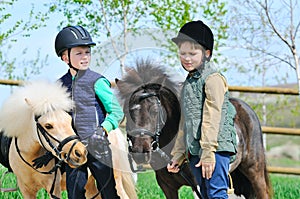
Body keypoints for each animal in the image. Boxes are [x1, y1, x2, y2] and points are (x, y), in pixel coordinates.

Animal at [114, 59, 272, 198]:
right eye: (126, 111)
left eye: (155, 110)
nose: (140, 152)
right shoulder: (167, 186)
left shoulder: (198, 184)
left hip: (254, 171)